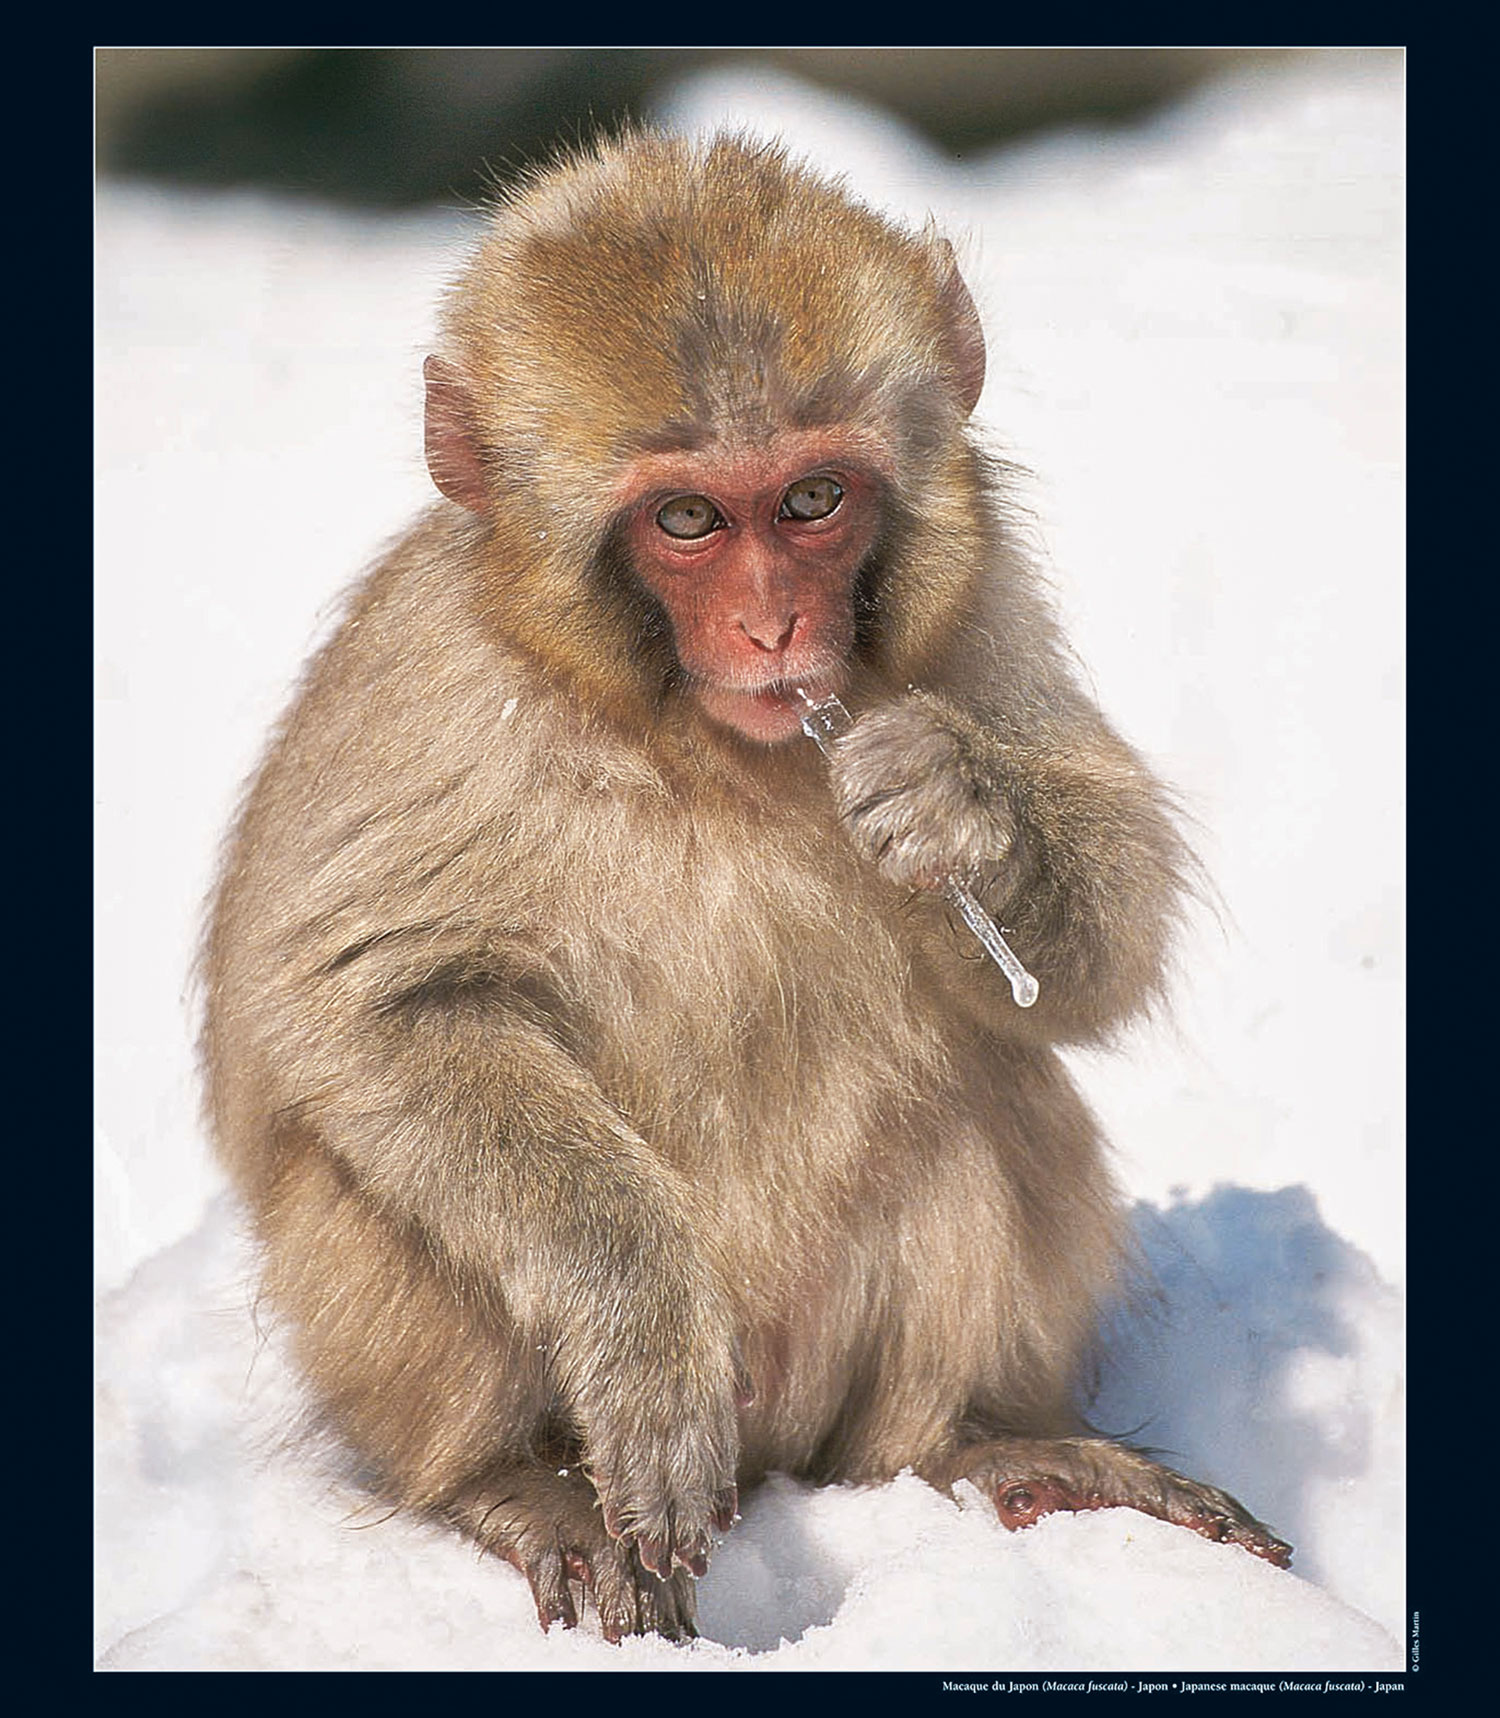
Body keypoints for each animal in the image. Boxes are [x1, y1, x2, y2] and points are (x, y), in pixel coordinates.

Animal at [201, 130, 1285, 1635]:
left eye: (814, 499)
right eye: (688, 518)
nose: (775, 627)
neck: (700, 737)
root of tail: (779, 1456)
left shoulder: (981, 606)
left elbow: (1108, 920)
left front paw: (961, 807)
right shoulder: (441, 679)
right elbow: (373, 1003)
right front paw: (643, 1333)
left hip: (836, 1404)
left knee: (979, 1088)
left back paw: (985, 1442)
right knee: (379, 1171)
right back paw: (507, 1483)